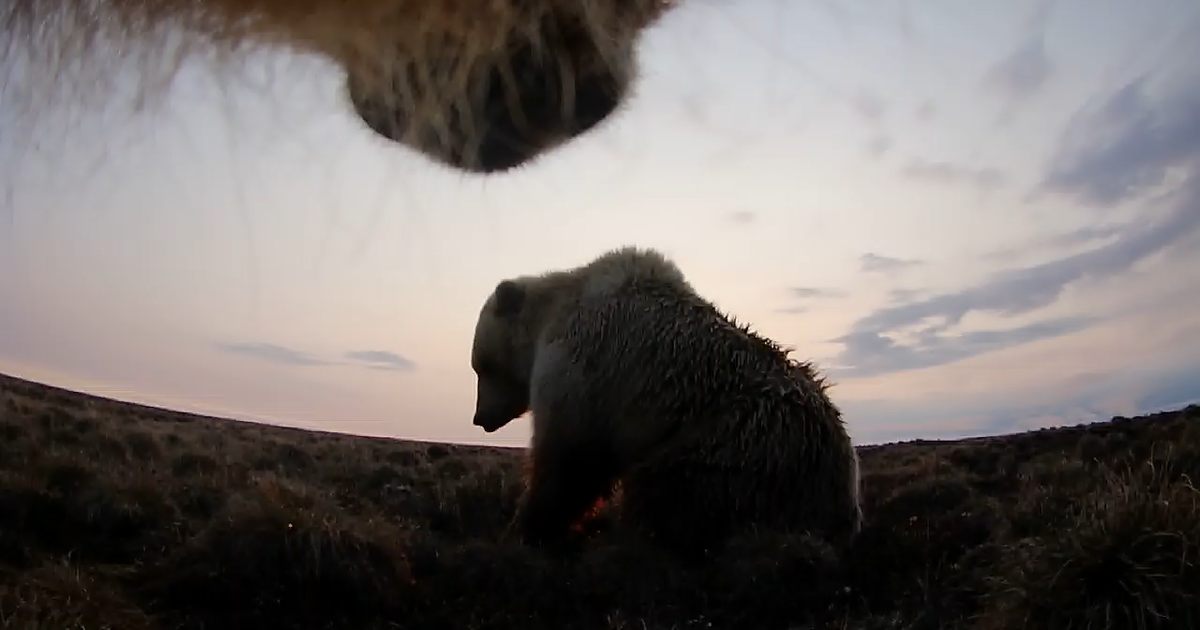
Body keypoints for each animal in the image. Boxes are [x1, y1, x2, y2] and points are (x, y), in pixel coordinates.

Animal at [469, 245, 864, 559]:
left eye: (481, 366)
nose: (480, 417)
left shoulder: (581, 368)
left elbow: (568, 460)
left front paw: (522, 530)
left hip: (734, 450)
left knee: (664, 492)